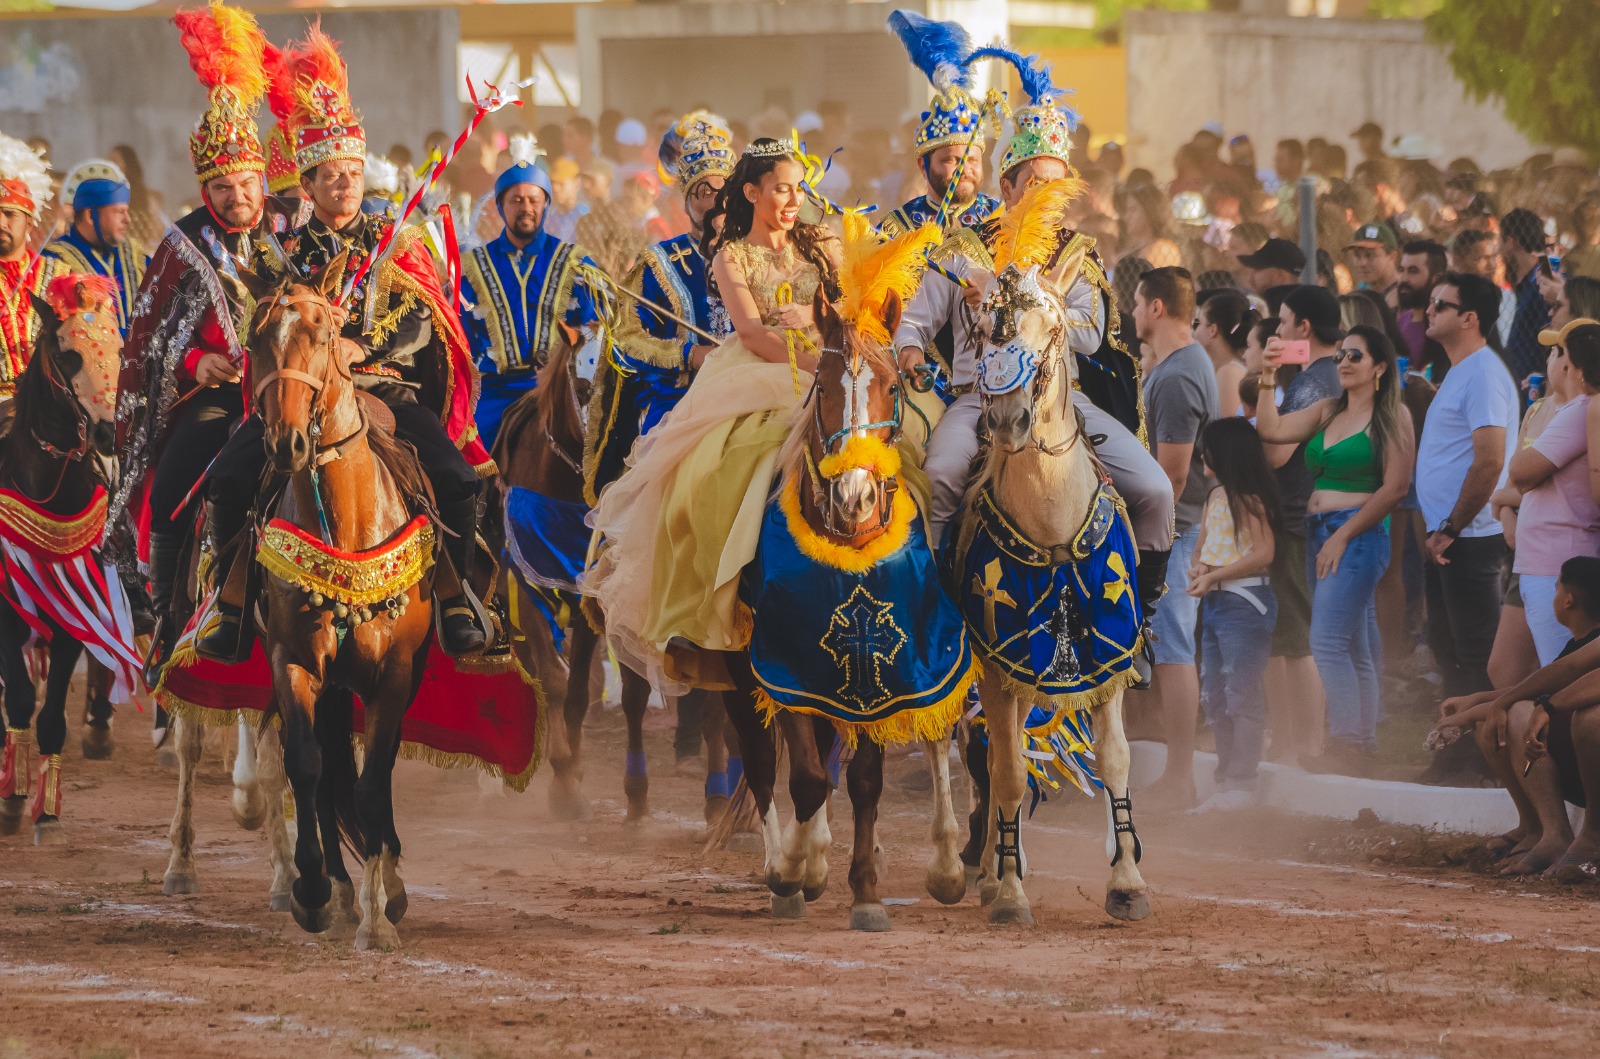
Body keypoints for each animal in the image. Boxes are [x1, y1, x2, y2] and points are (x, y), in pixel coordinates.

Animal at [240, 263, 438, 953]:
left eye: (324, 335)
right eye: (255, 339)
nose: (289, 443)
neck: (348, 525)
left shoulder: (395, 673)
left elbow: (374, 783)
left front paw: (381, 917)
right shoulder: (293, 660)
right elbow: (308, 767)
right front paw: (313, 891)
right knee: (325, 771)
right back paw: (339, 885)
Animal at [492, 327, 732, 825]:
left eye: (620, 382)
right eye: (582, 388)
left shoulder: (585, 599)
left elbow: (578, 693)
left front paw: (570, 776)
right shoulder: (527, 587)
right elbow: (555, 682)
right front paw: (564, 783)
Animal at [953, 259, 1158, 927]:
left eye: (1054, 330)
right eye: (985, 331)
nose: (1008, 421)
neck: (1050, 526)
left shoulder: (1109, 654)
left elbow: (1115, 758)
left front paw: (1127, 880)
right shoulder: (999, 662)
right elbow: (1010, 772)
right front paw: (1009, 893)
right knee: (993, 759)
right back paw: (989, 867)